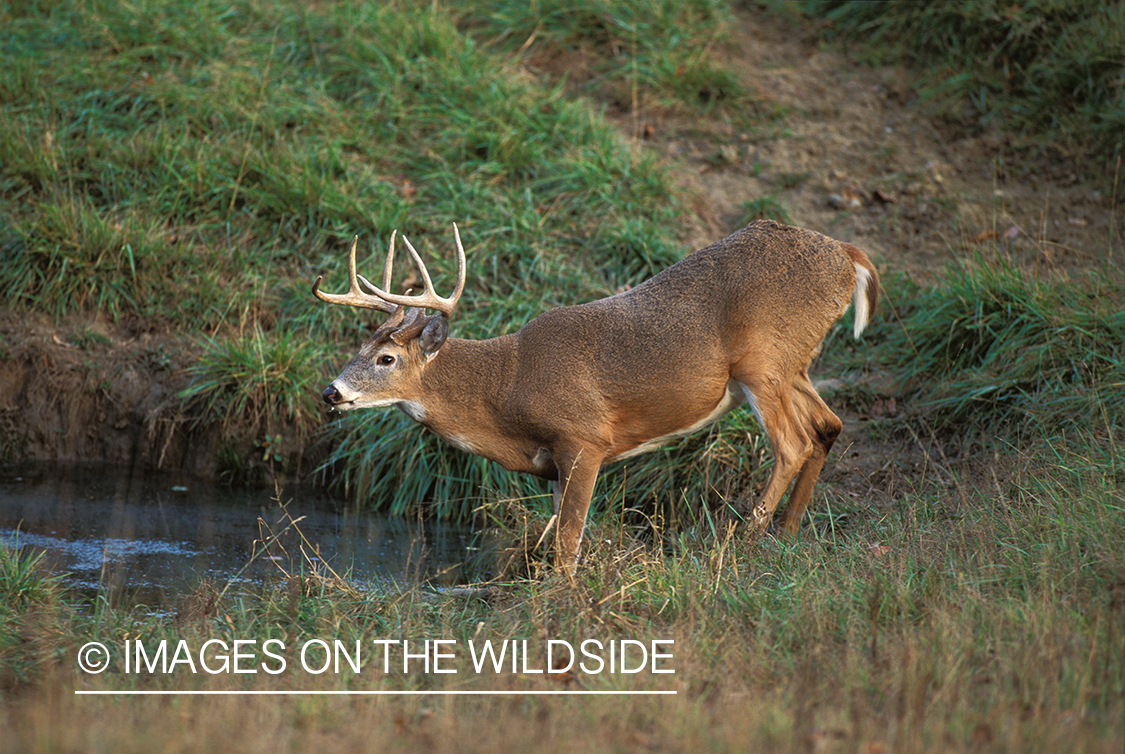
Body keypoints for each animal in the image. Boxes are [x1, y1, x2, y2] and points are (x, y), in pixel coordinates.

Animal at [313, 220, 879, 574]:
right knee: (828, 425)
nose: (331, 392)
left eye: (386, 359)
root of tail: (848, 257)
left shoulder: (584, 438)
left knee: (792, 443)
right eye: (359, 347)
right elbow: (558, 541)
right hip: (793, 366)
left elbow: (568, 547)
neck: (507, 386)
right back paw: (786, 536)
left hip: (764, 362)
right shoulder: (553, 464)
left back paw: (744, 543)